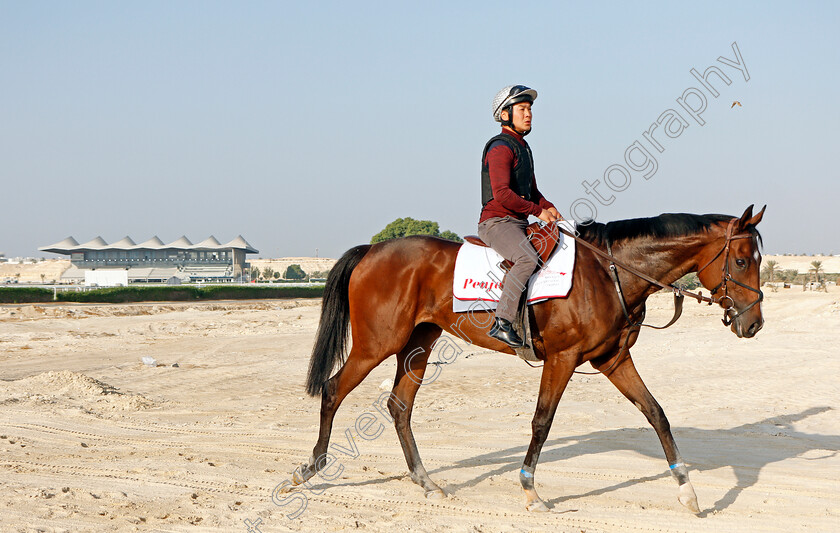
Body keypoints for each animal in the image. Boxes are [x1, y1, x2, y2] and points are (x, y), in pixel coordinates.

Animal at [286, 205, 764, 512]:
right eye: (741, 260)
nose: (755, 324)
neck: (608, 271)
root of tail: (372, 249)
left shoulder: (612, 360)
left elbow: (657, 414)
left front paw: (688, 492)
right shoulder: (562, 359)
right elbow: (542, 421)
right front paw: (531, 491)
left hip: (418, 343)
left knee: (399, 405)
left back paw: (427, 482)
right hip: (376, 344)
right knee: (333, 389)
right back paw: (309, 469)